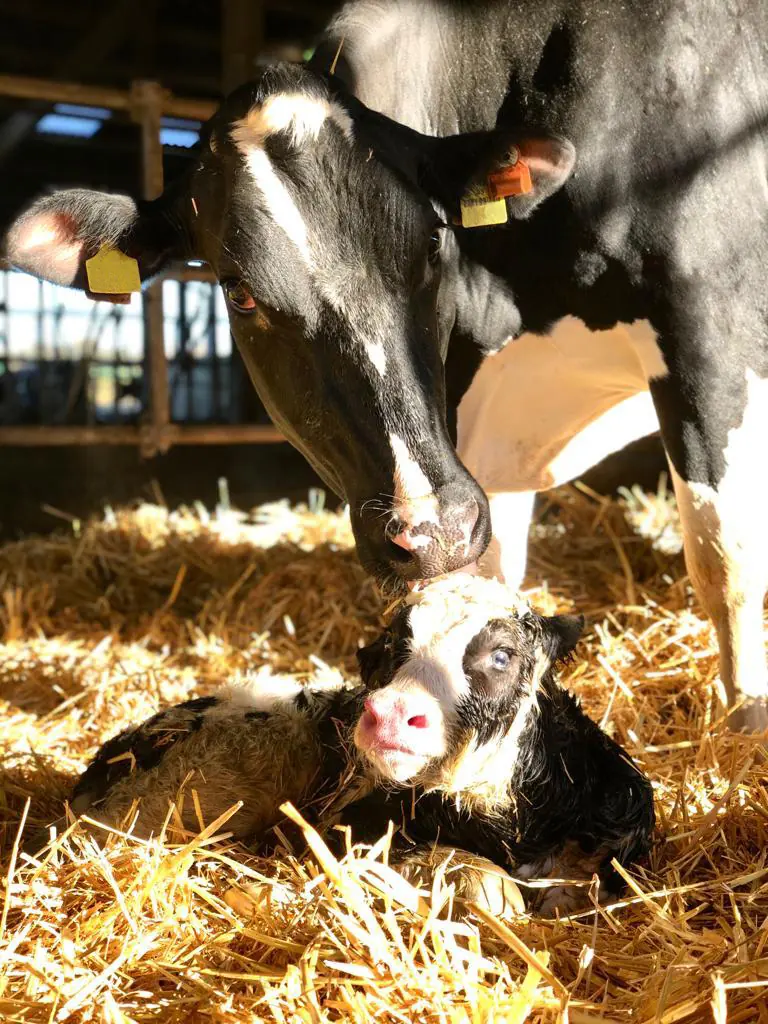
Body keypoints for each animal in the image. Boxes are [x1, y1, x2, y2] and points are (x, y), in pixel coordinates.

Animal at [5, 0, 768, 730]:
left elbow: (723, 556)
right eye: (239, 292)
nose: (431, 529)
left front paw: (745, 720)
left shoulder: (710, 318)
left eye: (433, 240)